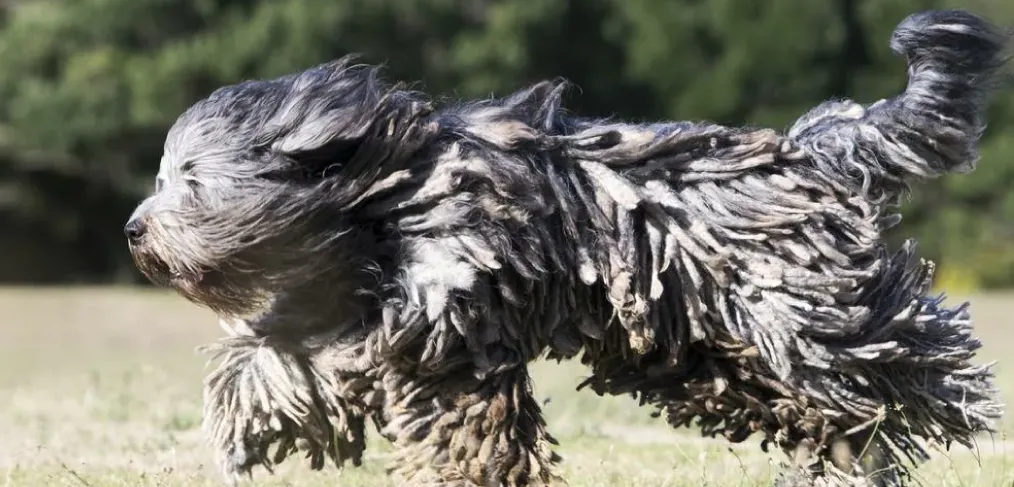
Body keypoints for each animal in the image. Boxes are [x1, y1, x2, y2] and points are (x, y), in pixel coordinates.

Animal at [124, 9, 1005, 484]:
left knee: (905, 345)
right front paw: (240, 434)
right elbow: (273, 369)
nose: (135, 228)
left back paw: (946, 398)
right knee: (829, 404)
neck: (376, 205)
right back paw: (851, 450)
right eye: (164, 175)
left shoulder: (454, 334)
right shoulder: (350, 327)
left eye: (190, 180)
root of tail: (809, 151)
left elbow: (469, 426)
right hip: (703, 351)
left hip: (798, 305)